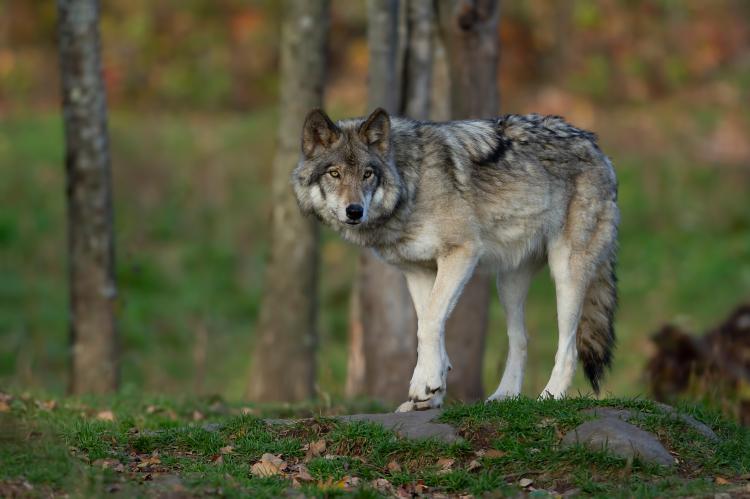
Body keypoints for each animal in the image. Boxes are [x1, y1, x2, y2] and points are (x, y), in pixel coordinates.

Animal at [290, 107, 620, 412]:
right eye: (334, 174)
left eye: (367, 174)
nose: (354, 211)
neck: (411, 183)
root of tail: (596, 146)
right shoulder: (418, 271)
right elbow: (428, 324)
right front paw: (431, 391)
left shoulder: (462, 253)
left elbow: (430, 322)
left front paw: (424, 385)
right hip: (508, 284)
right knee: (521, 339)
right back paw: (504, 396)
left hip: (566, 274)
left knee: (569, 348)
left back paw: (549, 397)